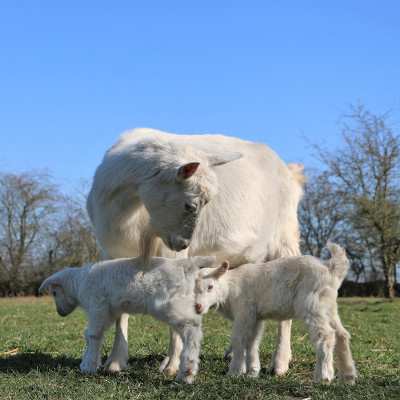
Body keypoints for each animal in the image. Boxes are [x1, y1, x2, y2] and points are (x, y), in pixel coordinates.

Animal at [86, 127, 302, 376]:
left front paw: (172, 365)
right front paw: (115, 362)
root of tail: (287, 170)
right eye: (190, 205)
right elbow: (120, 310)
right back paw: (234, 353)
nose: (184, 243)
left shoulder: (172, 257)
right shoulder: (113, 253)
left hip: (284, 240)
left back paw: (280, 363)